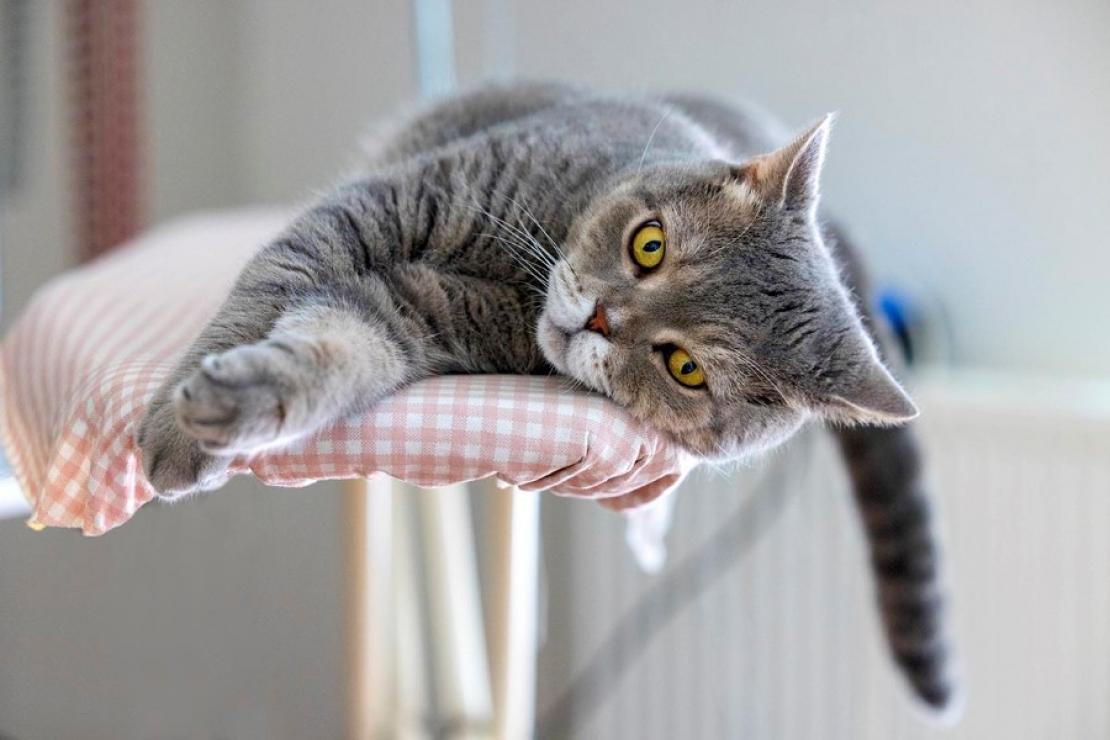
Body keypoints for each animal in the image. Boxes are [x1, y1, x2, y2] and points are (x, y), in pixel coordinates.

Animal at [136, 80, 954, 718]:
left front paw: (217, 416)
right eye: (649, 245)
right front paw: (178, 423)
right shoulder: (385, 204)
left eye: (686, 368)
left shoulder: (414, 313)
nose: (599, 318)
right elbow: (267, 284)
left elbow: (340, 347)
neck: (519, 270)